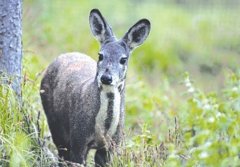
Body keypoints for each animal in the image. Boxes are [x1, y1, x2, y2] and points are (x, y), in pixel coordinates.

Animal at [40, 8, 151, 166]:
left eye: (123, 59)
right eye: (100, 55)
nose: (106, 77)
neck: (103, 129)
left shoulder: (112, 144)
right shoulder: (78, 138)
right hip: (54, 122)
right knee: (61, 153)